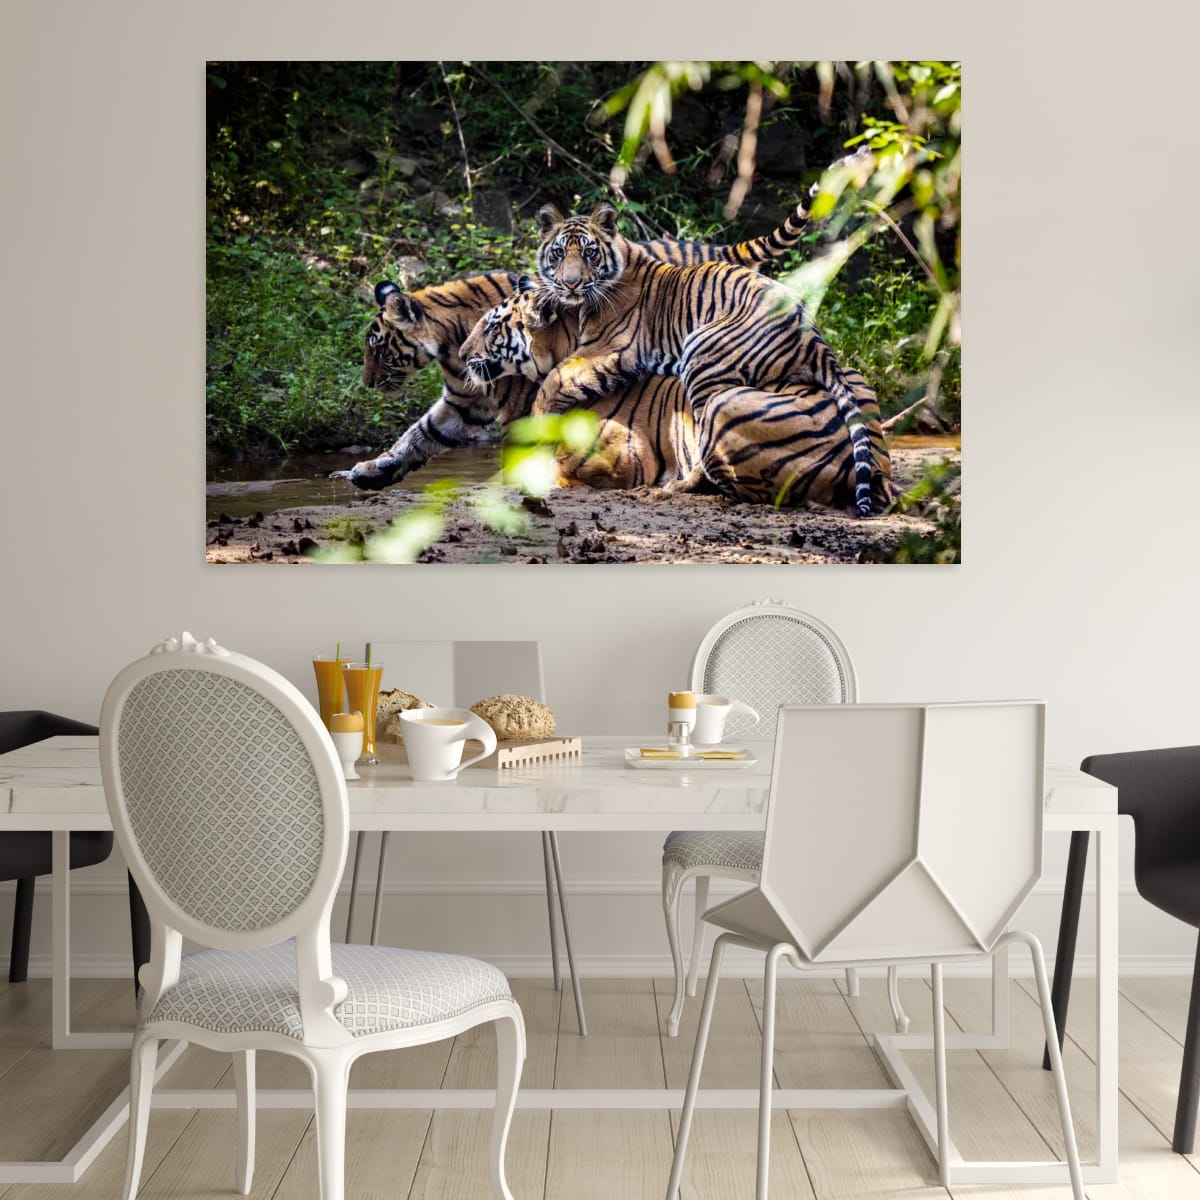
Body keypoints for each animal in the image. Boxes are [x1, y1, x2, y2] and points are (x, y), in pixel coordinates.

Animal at [333, 203, 813, 490]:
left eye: (377, 347)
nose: (367, 383)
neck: (449, 348)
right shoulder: (462, 403)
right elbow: (416, 436)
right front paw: (369, 471)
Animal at [468, 229, 887, 517]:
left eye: (492, 326)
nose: (461, 354)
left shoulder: (624, 452)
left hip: (715, 386)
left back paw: (666, 491)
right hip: (851, 376)